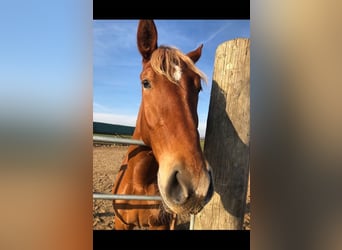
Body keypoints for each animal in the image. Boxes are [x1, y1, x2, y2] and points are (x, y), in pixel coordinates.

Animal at [111, 20, 214, 230]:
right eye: (146, 83)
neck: (139, 182)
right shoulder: (121, 224)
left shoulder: (160, 225)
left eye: (198, 88)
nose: (195, 185)